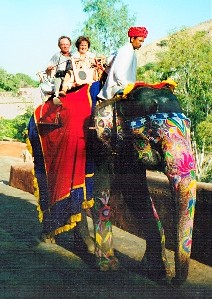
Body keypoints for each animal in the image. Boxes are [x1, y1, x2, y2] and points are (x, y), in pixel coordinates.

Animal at [90, 83, 196, 288]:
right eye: (154, 137)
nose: (174, 282)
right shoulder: (101, 143)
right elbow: (101, 190)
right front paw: (108, 266)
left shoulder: (129, 152)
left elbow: (137, 196)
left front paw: (158, 273)